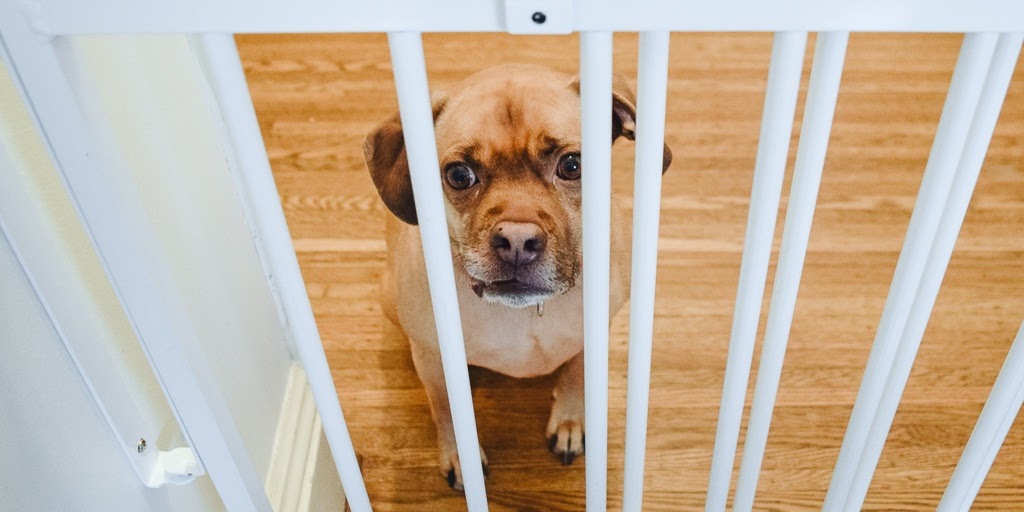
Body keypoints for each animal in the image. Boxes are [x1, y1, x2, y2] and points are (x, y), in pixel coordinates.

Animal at [362, 62, 671, 487]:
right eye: (459, 175)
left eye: (572, 165)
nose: (518, 241)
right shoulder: (434, 360)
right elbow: (445, 407)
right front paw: (461, 455)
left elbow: (577, 374)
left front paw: (570, 421)